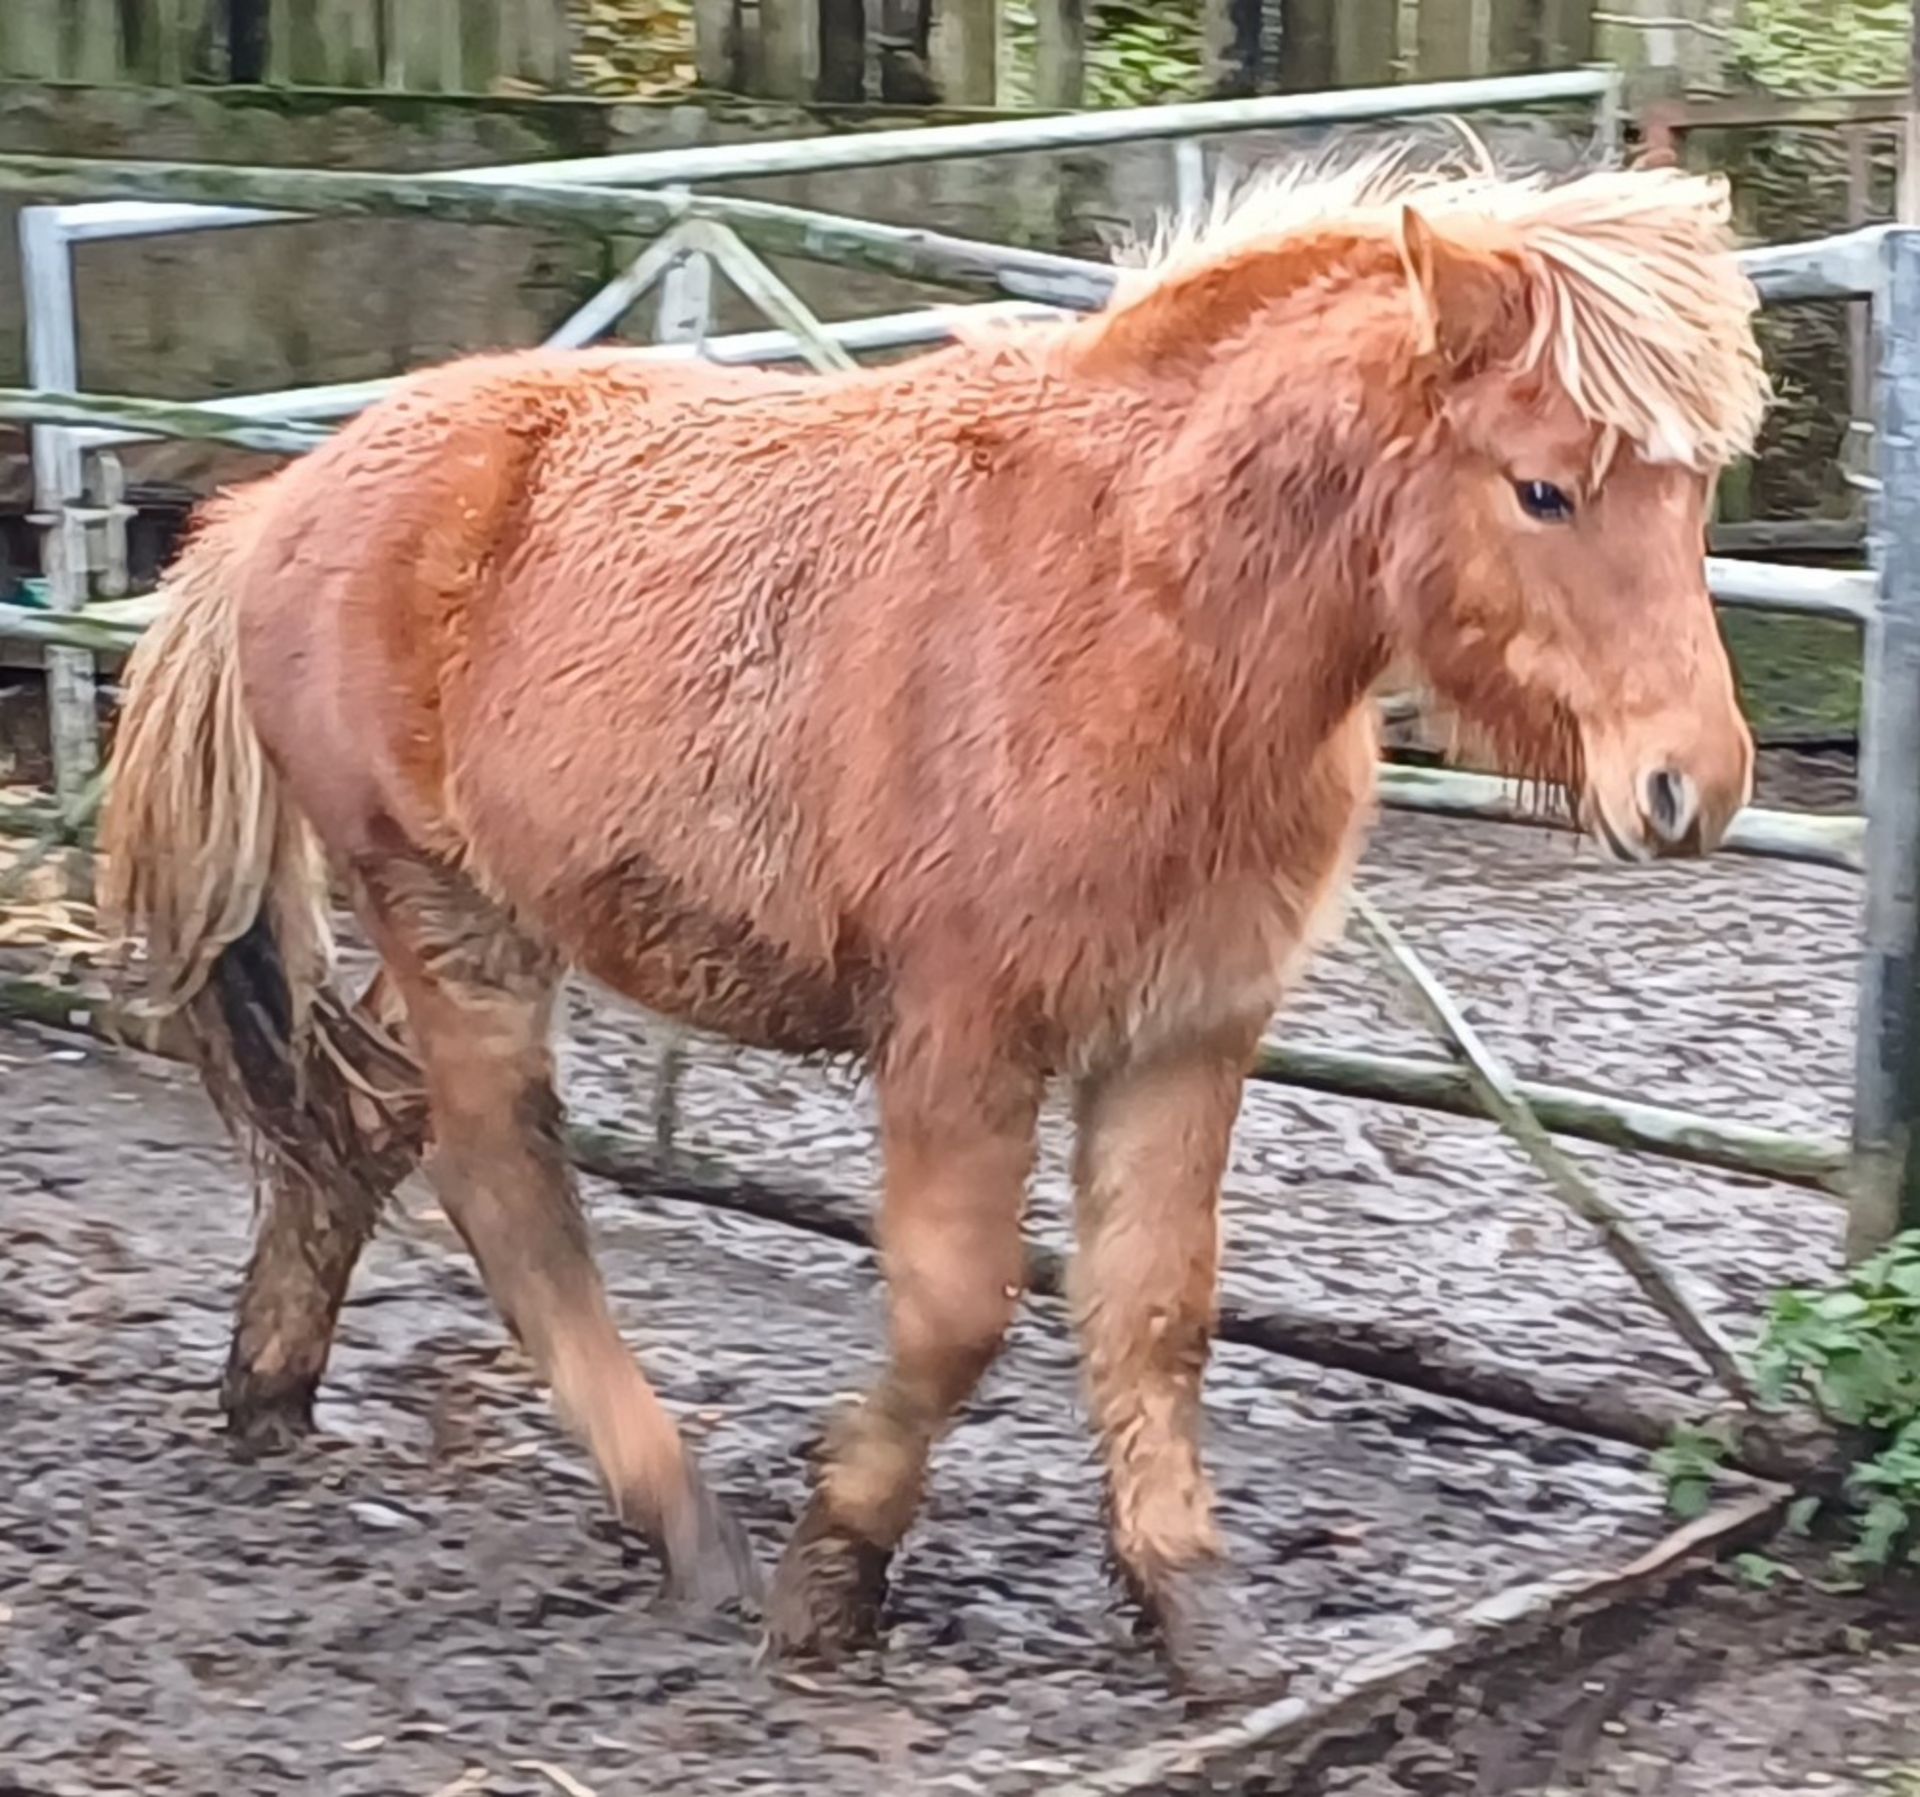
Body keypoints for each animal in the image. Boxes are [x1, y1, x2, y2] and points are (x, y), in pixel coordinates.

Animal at [101, 158, 1758, 1697]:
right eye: (1542, 489)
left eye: (1695, 497)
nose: (1693, 783)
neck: (1133, 617)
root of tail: (281, 502)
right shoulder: (960, 1038)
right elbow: (961, 1312)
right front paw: (832, 1577)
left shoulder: (1186, 1034)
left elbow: (1155, 1311)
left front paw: (1196, 1611)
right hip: (446, 912)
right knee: (500, 1178)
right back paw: (681, 1519)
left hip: (481, 917)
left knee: (368, 1124)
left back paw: (271, 1387)